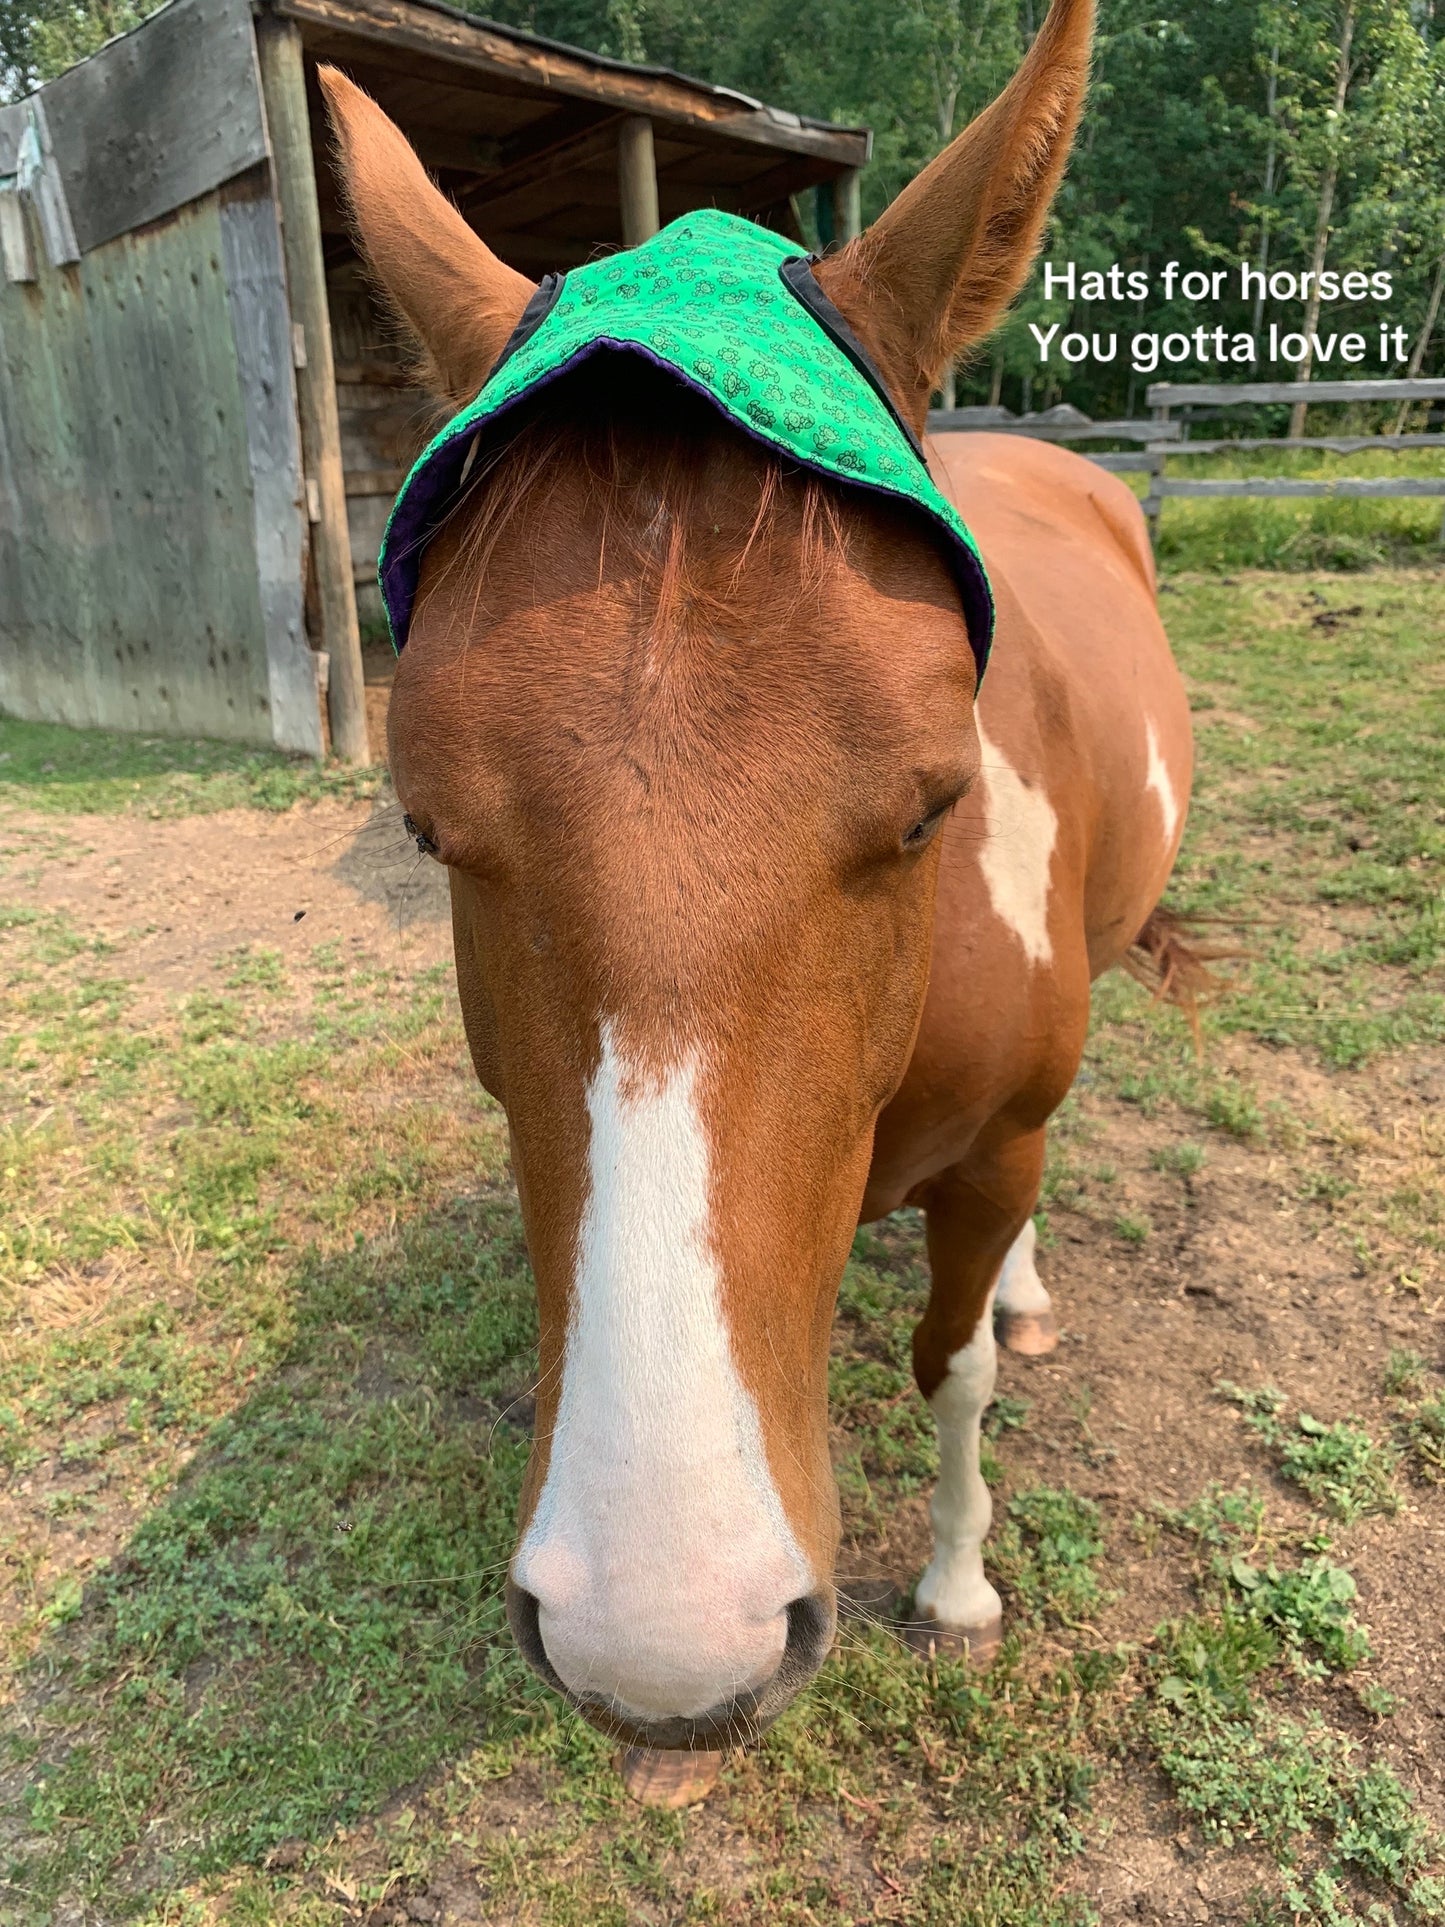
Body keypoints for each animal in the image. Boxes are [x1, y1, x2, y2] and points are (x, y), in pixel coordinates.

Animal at [320, 0, 1193, 1806]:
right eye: (425, 826)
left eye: (936, 799)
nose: (666, 1641)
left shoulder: (997, 1144)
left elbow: (952, 1364)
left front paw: (956, 1580)